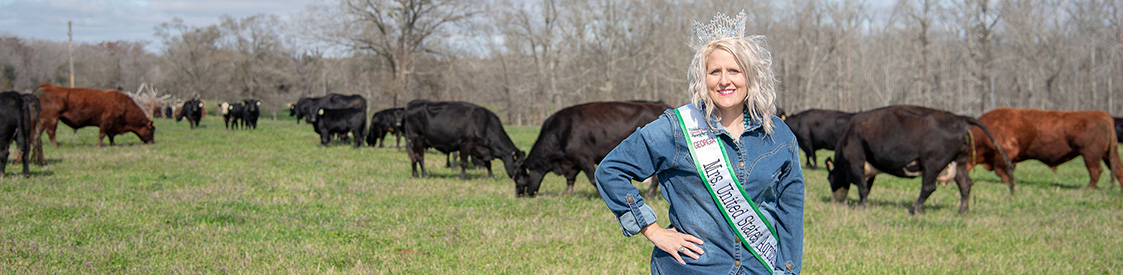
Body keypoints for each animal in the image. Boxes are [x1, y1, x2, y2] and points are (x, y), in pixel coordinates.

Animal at [514, 101, 669, 197]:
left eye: (518, 180)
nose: (519, 195)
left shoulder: (583, 158)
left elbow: (592, 178)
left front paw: (600, 195)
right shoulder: (571, 163)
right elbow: (570, 179)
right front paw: (568, 193)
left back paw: (650, 194)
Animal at [826, 105, 1019, 214]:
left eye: (829, 179)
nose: (835, 200)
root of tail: (959, 119)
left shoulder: (856, 162)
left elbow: (863, 188)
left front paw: (862, 207)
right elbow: (867, 187)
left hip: (932, 164)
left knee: (928, 187)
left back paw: (914, 209)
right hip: (959, 163)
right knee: (965, 185)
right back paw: (962, 211)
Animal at [970, 107, 1118, 188]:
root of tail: (1102, 115)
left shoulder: (1004, 155)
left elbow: (1002, 171)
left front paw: (1014, 184)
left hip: (1090, 155)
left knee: (1096, 171)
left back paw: (1088, 188)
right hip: (1107, 154)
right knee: (1117, 170)